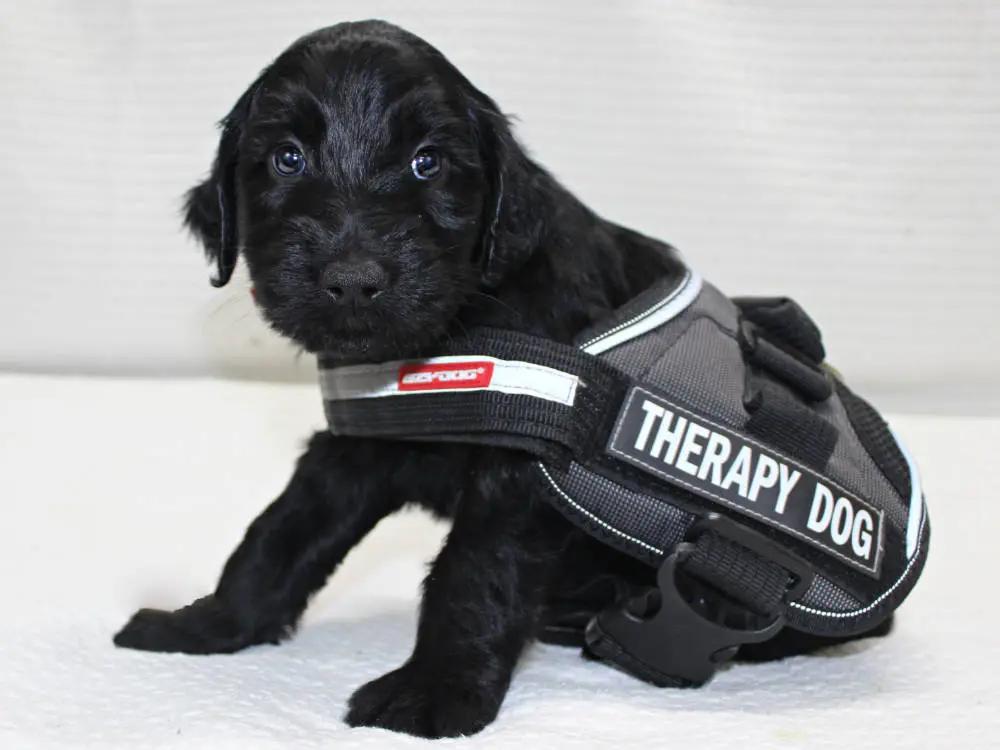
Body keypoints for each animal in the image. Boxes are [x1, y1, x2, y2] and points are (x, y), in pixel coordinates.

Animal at [115, 20, 884, 736]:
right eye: (286, 157)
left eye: (428, 163)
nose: (354, 280)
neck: (454, 333)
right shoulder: (354, 450)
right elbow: (279, 536)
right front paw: (208, 624)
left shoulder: (520, 478)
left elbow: (473, 575)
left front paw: (435, 692)